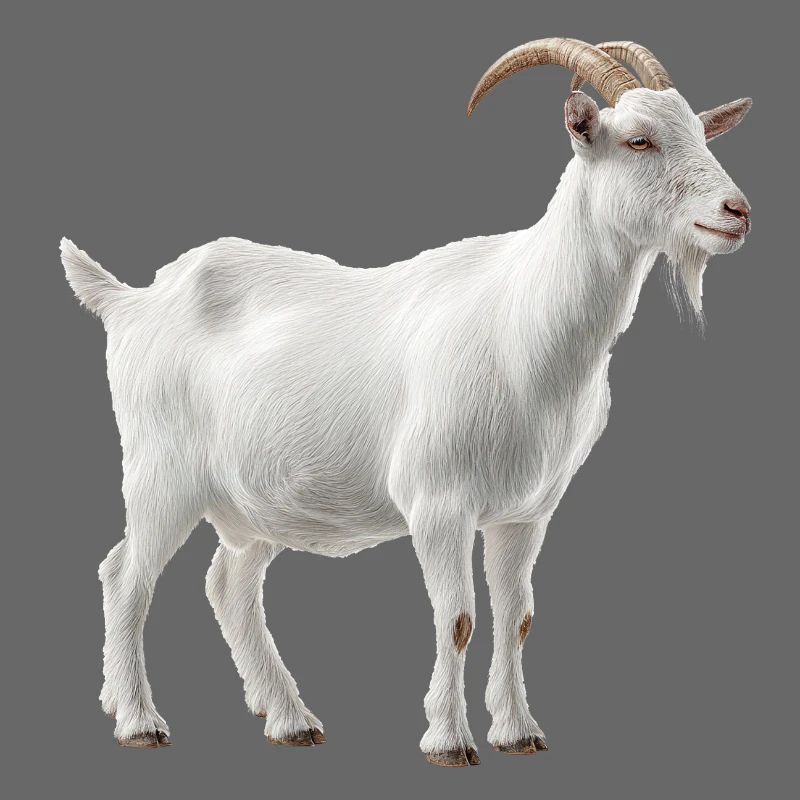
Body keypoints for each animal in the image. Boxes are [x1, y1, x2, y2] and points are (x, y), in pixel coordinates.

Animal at [62, 38, 751, 766]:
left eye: (701, 132)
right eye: (639, 140)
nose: (736, 212)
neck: (522, 321)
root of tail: (130, 301)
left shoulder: (524, 512)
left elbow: (518, 618)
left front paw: (519, 732)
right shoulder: (438, 501)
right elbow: (458, 618)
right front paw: (449, 741)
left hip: (252, 501)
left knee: (229, 584)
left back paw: (290, 719)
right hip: (160, 472)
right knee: (125, 577)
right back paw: (138, 720)